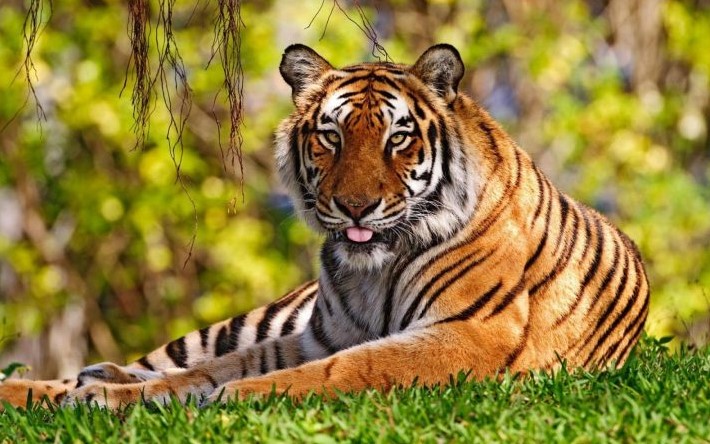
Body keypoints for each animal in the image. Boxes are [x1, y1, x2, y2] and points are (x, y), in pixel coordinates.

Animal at [0, 43, 649, 410]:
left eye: (398, 138)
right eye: (331, 136)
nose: (355, 206)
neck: (374, 269)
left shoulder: (470, 333)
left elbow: (347, 368)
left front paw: (231, 399)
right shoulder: (321, 335)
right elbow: (217, 367)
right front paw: (111, 396)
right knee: (165, 359)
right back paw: (70, 383)